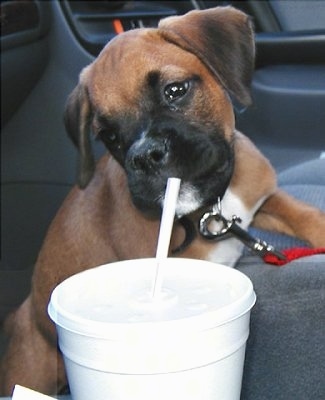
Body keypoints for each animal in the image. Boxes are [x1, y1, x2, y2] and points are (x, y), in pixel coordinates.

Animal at [0, 7, 324, 396]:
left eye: (175, 91)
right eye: (109, 135)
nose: (145, 155)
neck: (210, 209)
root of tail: (23, 313)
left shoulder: (261, 200)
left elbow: (304, 213)